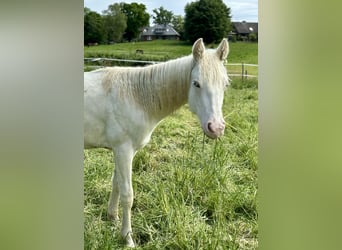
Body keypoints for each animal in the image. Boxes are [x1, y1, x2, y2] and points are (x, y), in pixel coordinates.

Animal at [83, 38, 230, 247]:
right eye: (196, 84)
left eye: (225, 84)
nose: (216, 128)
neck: (136, 96)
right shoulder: (123, 150)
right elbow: (127, 194)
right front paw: (127, 238)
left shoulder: (122, 151)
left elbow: (116, 184)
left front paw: (113, 218)